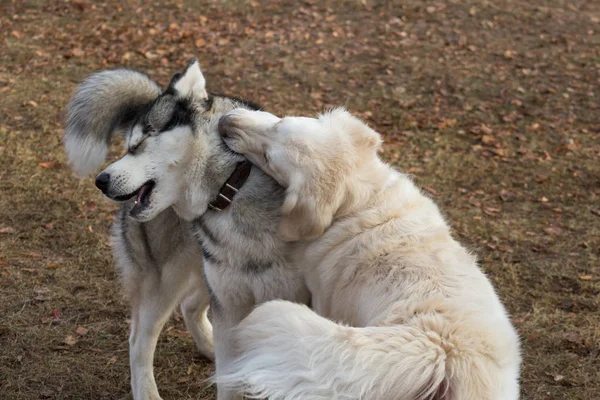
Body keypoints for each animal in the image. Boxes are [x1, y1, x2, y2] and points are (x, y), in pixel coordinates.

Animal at [218, 108, 524, 398]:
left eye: (268, 157)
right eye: (279, 124)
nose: (224, 122)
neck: (361, 199)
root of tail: (440, 348)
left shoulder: (324, 299)